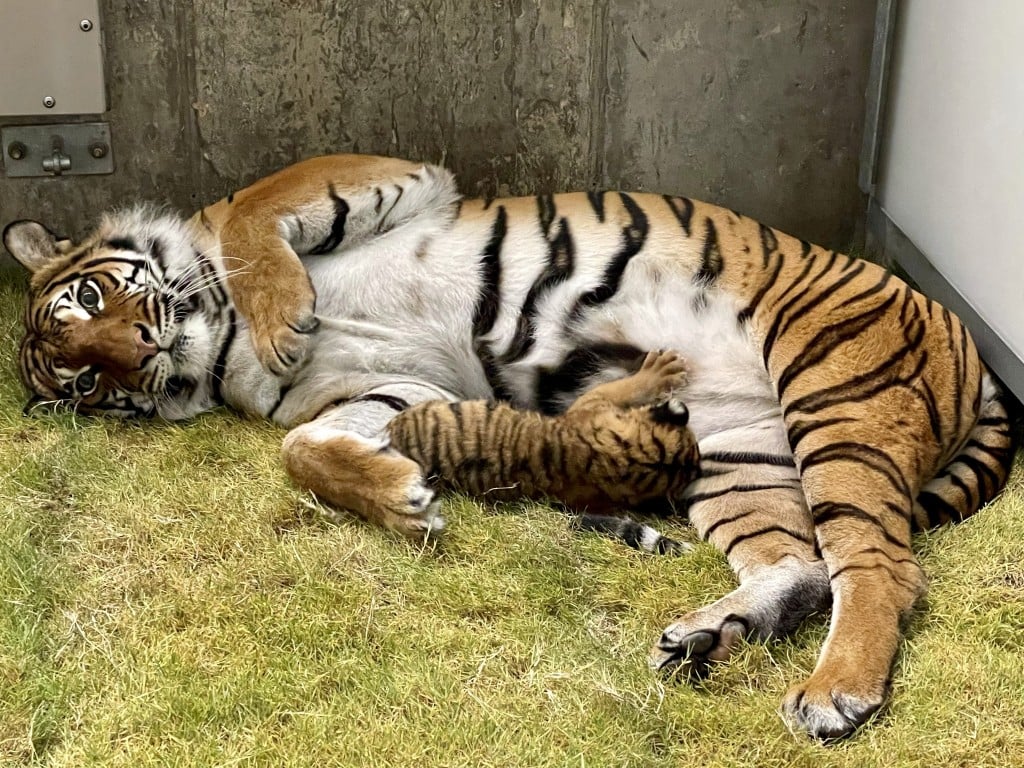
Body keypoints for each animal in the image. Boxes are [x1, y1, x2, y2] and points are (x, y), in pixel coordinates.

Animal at [2, 154, 1015, 741]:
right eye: (84, 383)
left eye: (88, 301)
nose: (140, 354)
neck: (216, 351)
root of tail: (965, 341)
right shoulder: (388, 386)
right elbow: (307, 451)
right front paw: (403, 499)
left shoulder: (376, 174)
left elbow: (258, 211)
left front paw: (284, 313)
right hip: (739, 453)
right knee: (800, 564)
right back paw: (707, 637)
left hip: (837, 394)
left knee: (881, 568)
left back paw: (834, 694)